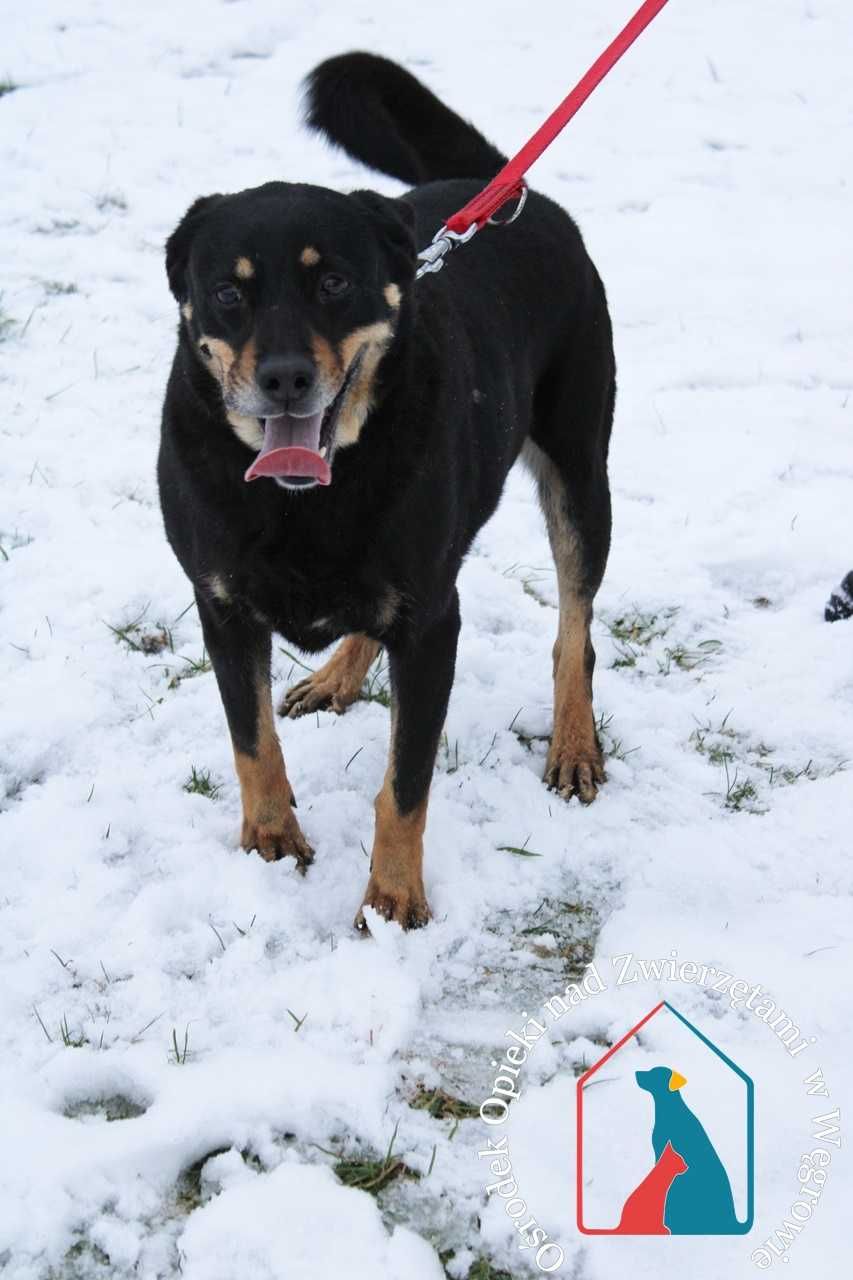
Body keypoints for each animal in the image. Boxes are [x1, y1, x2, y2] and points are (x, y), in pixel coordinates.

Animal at [157, 52, 612, 931]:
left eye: (334, 282)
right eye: (228, 292)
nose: (285, 378)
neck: (302, 500)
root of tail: (503, 190)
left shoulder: (434, 622)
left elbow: (405, 781)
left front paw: (394, 898)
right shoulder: (220, 603)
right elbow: (250, 739)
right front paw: (270, 838)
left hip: (580, 473)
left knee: (574, 628)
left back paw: (573, 744)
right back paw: (338, 674)